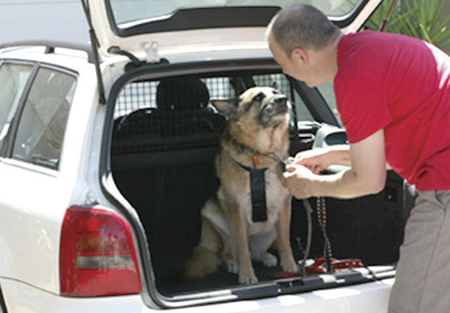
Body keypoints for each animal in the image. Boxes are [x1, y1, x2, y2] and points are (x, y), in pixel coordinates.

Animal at [185, 85, 298, 282]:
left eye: (276, 92)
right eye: (258, 97)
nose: (283, 99)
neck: (260, 155)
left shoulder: (284, 207)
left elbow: (285, 242)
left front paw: (290, 266)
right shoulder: (236, 210)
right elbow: (242, 248)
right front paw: (246, 275)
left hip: (271, 229)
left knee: (257, 252)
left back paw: (265, 256)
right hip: (213, 216)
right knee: (228, 253)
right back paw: (234, 263)